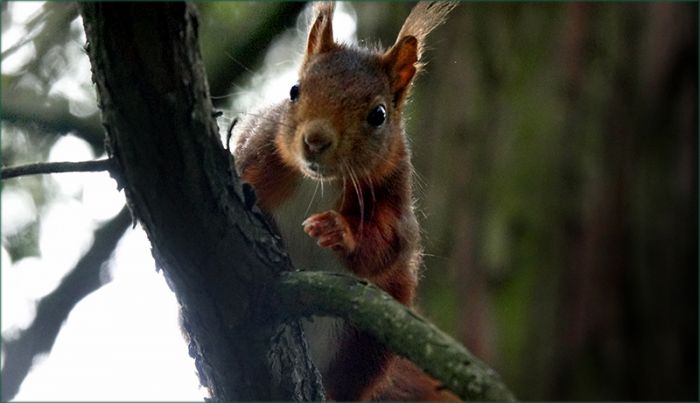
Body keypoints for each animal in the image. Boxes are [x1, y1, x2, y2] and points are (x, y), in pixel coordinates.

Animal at [233, 2, 458, 401]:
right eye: (294, 90)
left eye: (379, 115)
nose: (315, 140)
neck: (319, 183)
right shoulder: (254, 149)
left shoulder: (393, 194)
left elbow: (387, 246)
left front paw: (340, 231)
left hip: (370, 342)